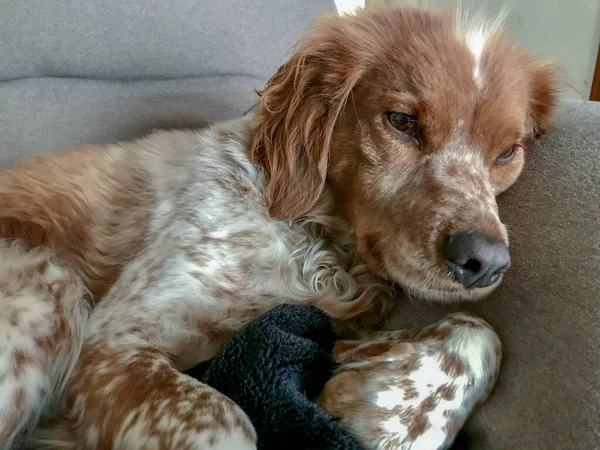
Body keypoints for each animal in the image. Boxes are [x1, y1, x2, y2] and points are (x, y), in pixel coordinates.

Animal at [0, 7, 556, 450]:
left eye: (508, 152)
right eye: (401, 121)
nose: (484, 262)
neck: (312, 240)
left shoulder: (325, 326)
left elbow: (479, 330)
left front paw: (393, 417)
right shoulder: (113, 341)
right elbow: (223, 421)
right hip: (52, 285)